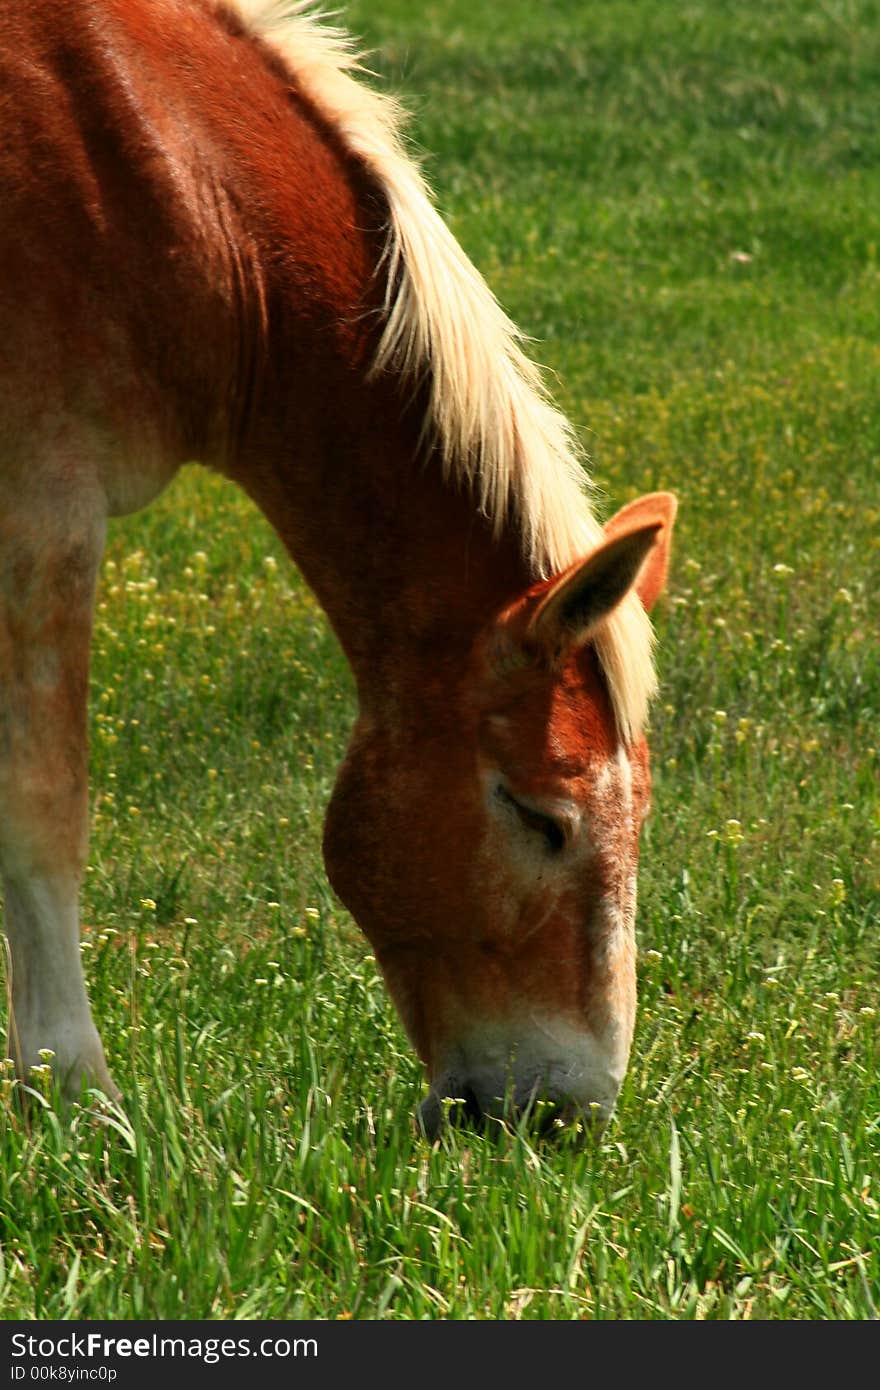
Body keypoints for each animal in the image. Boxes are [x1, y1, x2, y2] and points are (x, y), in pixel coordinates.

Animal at [0, 0, 675, 1134]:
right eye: (543, 818)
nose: (568, 1115)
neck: (153, 156)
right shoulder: (44, 511)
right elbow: (44, 803)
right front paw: (77, 1093)